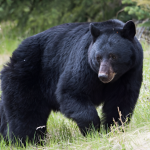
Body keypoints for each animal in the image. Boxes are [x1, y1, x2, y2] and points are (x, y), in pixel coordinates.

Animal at [0, 18, 143, 144]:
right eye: (98, 57)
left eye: (113, 56)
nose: (103, 76)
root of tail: (12, 57)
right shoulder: (84, 63)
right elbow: (71, 91)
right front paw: (93, 130)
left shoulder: (130, 72)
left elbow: (120, 101)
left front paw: (114, 128)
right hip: (25, 77)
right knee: (25, 112)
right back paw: (26, 141)